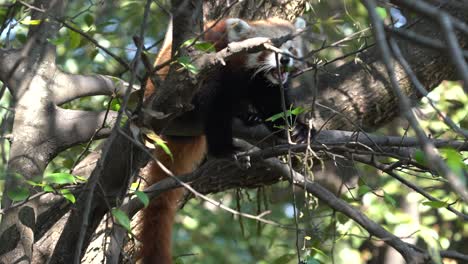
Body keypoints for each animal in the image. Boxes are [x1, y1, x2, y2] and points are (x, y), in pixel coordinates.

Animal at [139, 17, 308, 264]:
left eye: (291, 48)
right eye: (267, 48)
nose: (285, 59)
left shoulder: (265, 84)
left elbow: (275, 103)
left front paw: (297, 128)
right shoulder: (211, 63)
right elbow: (214, 103)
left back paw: (249, 116)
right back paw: (225, 146)